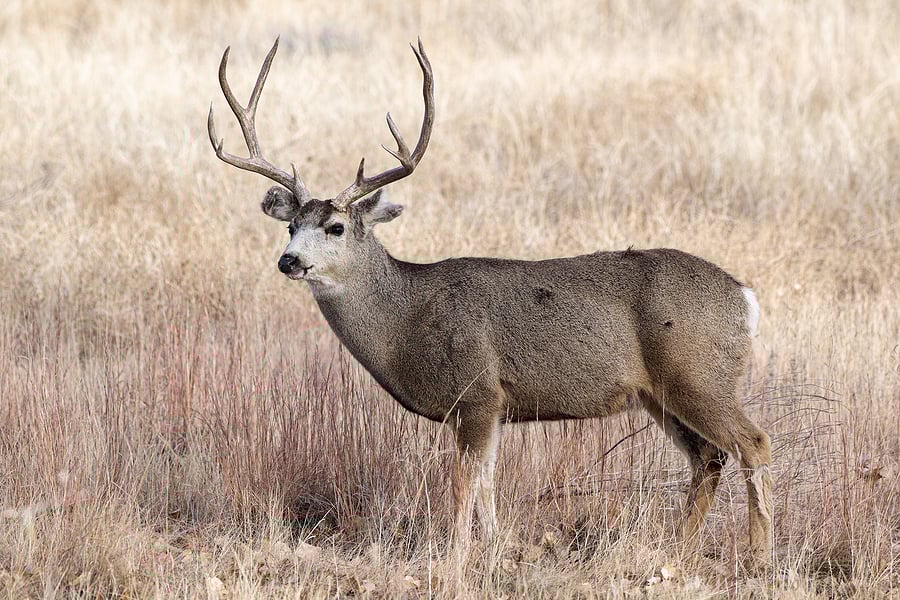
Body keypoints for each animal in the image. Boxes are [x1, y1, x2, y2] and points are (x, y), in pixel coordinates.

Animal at [207, 38, 774, 565]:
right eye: (290, 226)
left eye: (335, 227)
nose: (289, 261)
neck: (405, 320)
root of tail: (744, 298)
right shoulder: (495, 406)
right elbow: (487, 484)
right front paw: (497, 549)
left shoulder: (477, 391)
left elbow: (463, 482)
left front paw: (454, 557)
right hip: (660, 393)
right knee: (708, 459)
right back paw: (680, 549)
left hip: (698, 374)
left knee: (752, 444)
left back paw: (758, 556)